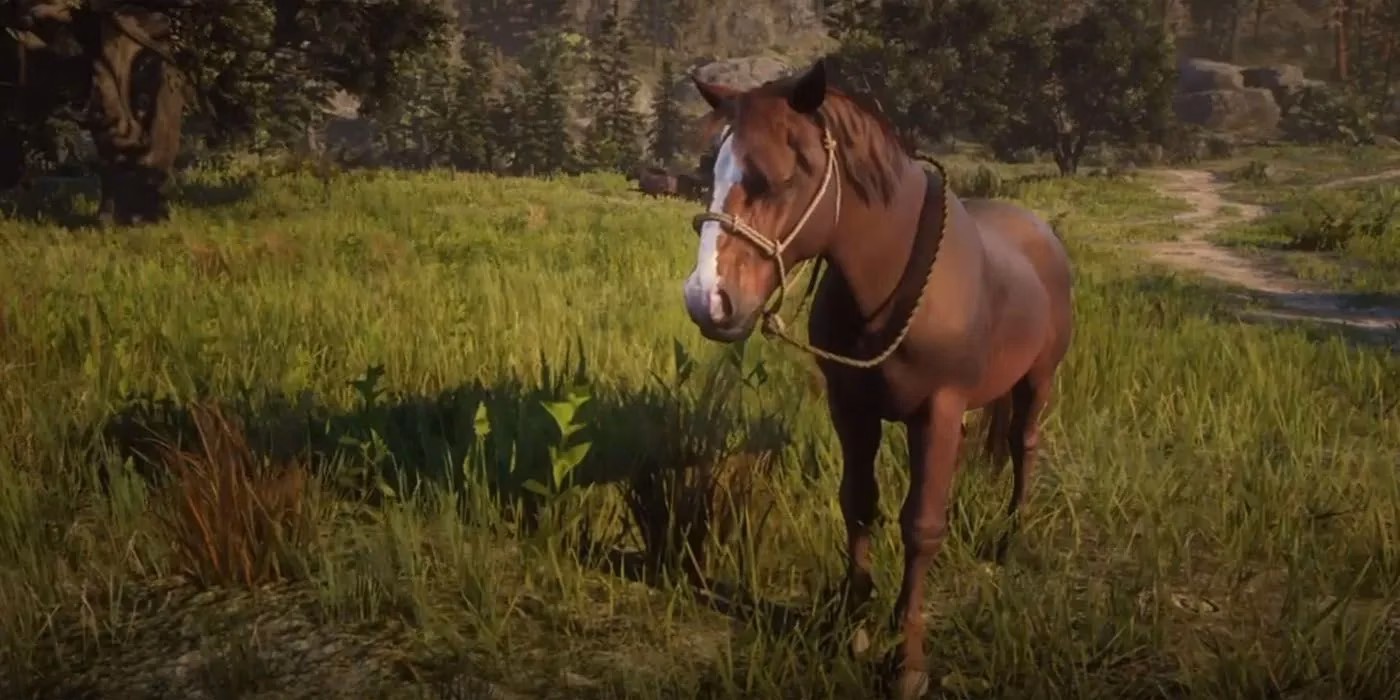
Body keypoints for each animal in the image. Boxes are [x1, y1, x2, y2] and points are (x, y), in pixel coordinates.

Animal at [679, 57, 1073, 699]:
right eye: (710, 172)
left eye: (781, 177)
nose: (707, 300)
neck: (889, 285)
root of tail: (1043, 235)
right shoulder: (851, 408)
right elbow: (858, 503)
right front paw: (854, 621)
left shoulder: (938, 411)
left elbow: (922, 526)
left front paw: (908, 659)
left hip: (1036, 380)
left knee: (1023, 444)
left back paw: (1012, 534)